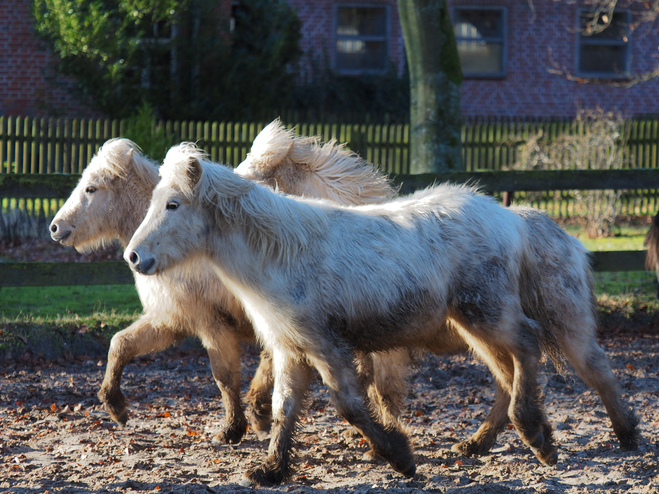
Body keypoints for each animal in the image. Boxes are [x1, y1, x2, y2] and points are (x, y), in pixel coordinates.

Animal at [127, 146, 564, 486]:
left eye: (173, 204)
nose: (133, 257)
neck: (281, 253)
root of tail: (508, 217)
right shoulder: (290, 348)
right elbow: (284, 406)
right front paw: (271, 469)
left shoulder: (326, 346)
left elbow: (349, 405)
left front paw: (400, 457)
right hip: (475, 324)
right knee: (509, 368)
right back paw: (522, 438)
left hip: (486, 313)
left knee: (527, 344)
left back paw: (535, 435)